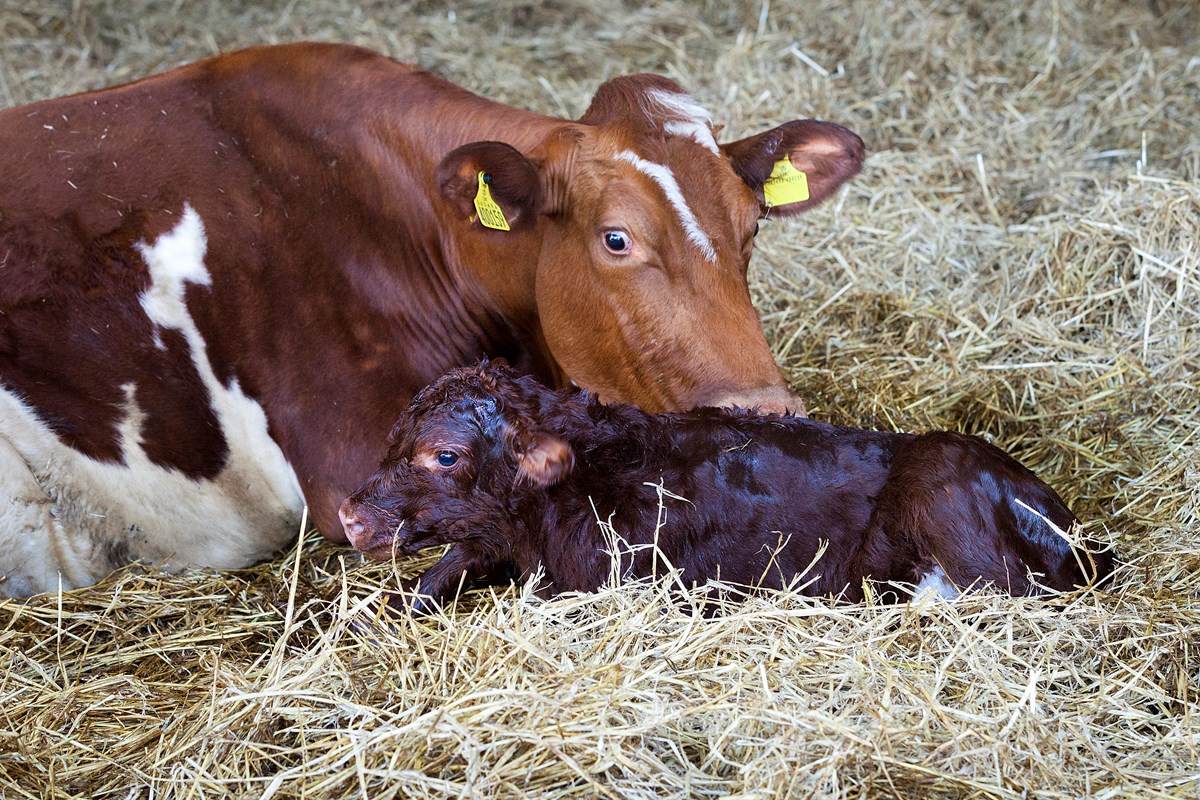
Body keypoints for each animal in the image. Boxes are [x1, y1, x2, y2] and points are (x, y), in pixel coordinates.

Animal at [340, 364, 1113, 614]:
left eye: (444, 455)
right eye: (392, 434)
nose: (349, 516)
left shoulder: (604, 586)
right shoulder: (494, 538)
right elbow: (435, 574)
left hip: (944, 479)